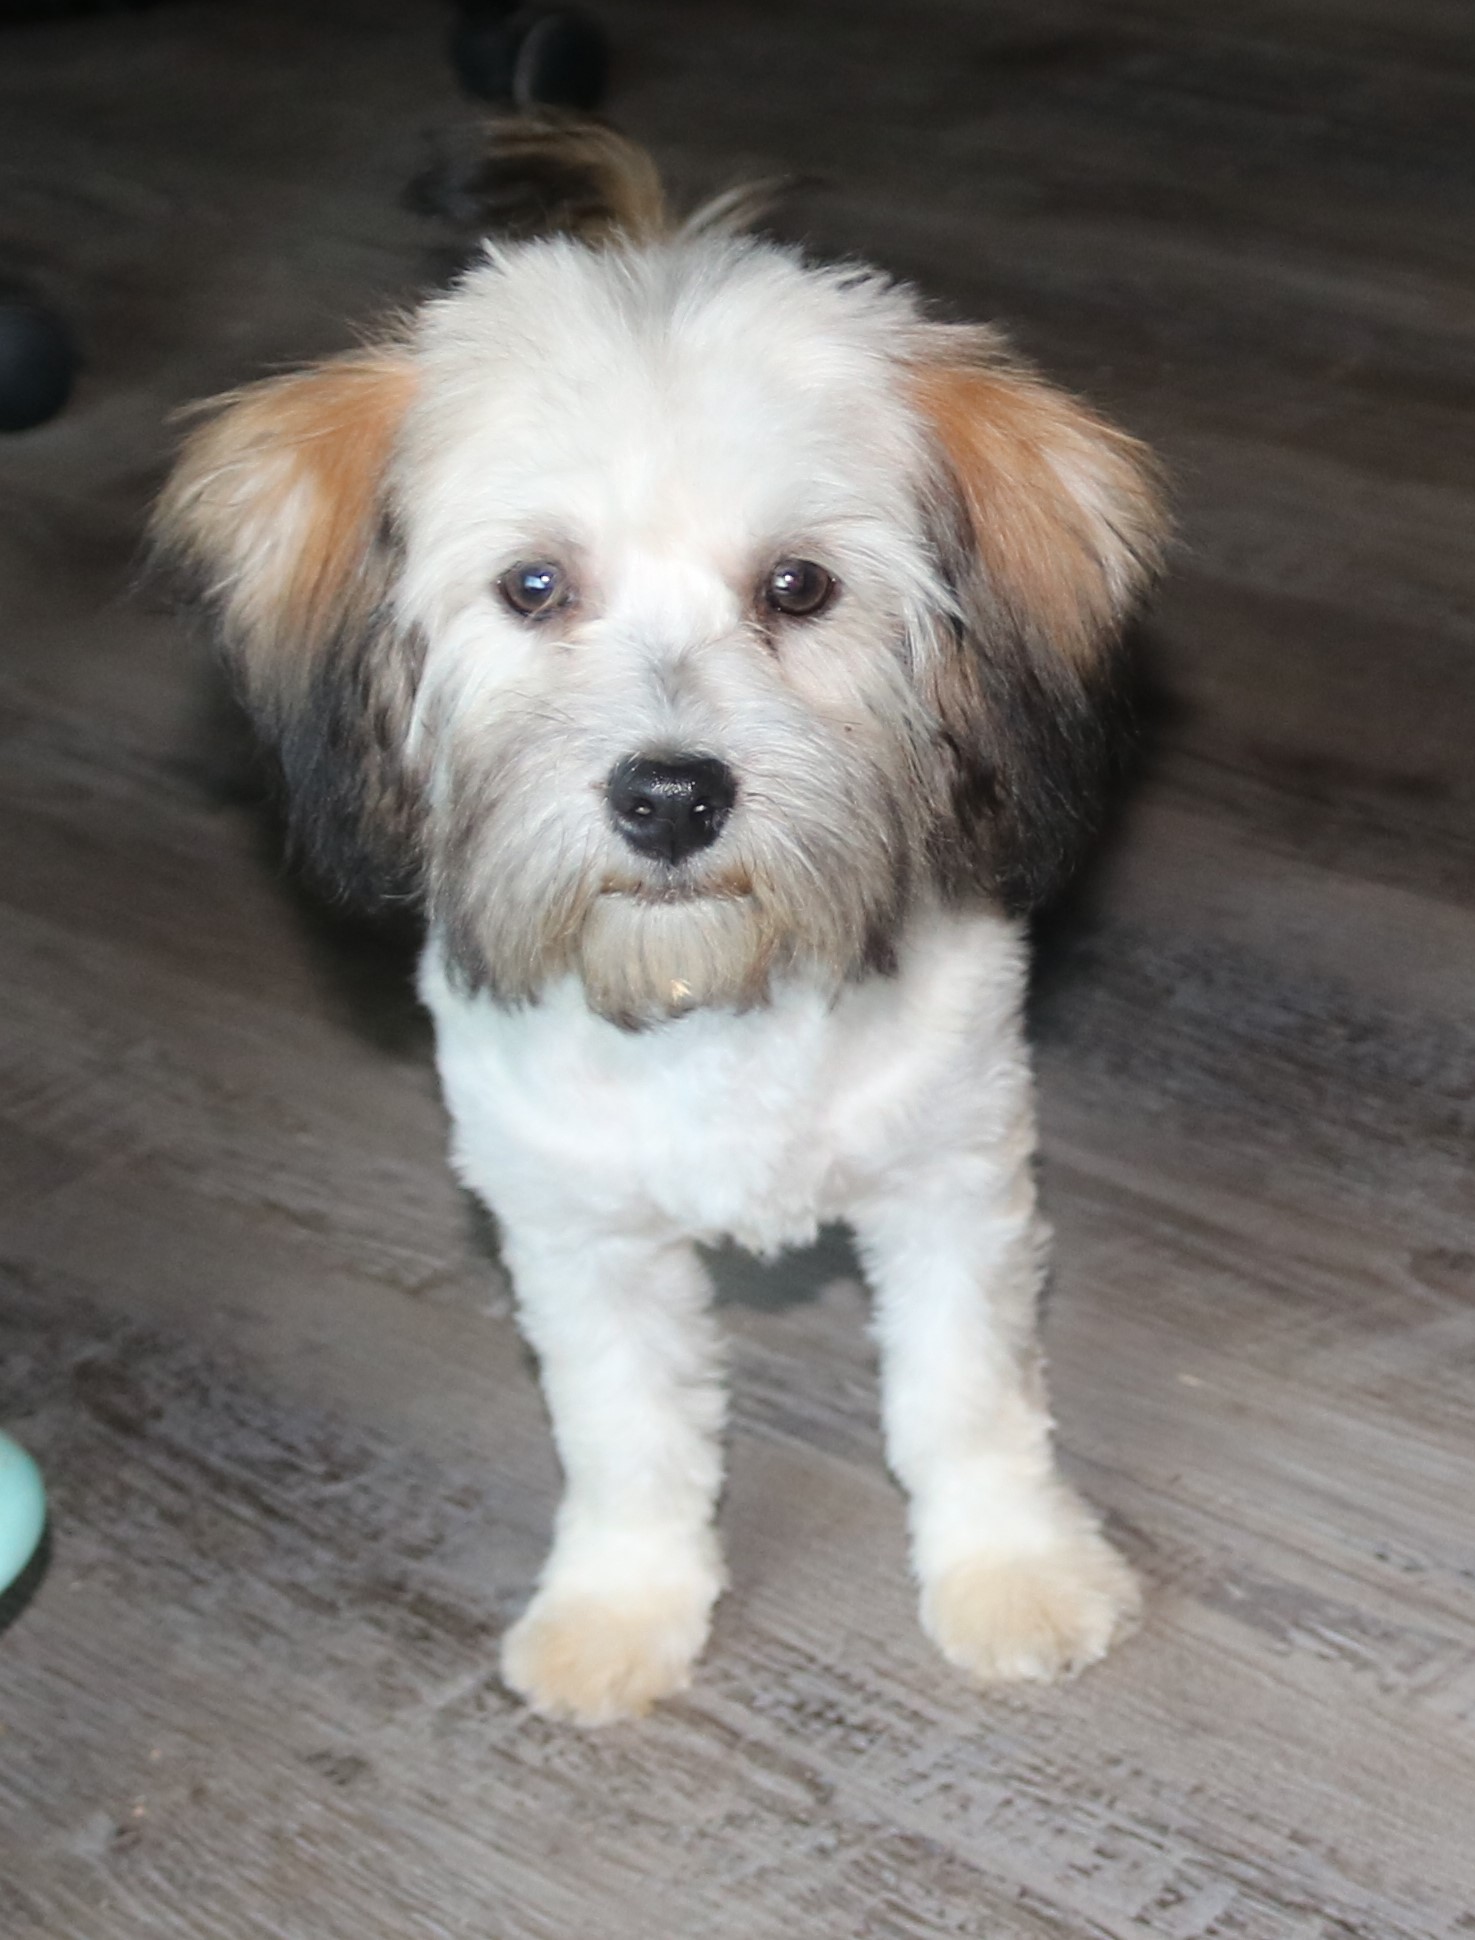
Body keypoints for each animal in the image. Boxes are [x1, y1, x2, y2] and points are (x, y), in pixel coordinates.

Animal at [155, 125, 1172, 1730]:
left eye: (798, 586)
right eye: (532, 585)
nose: (671, 797)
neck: (710, 989)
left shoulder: (951, 1180)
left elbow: (964, 1398)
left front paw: (1011, 1571)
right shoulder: (574, 1236)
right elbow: (626, 1436)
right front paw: (617, 1610)